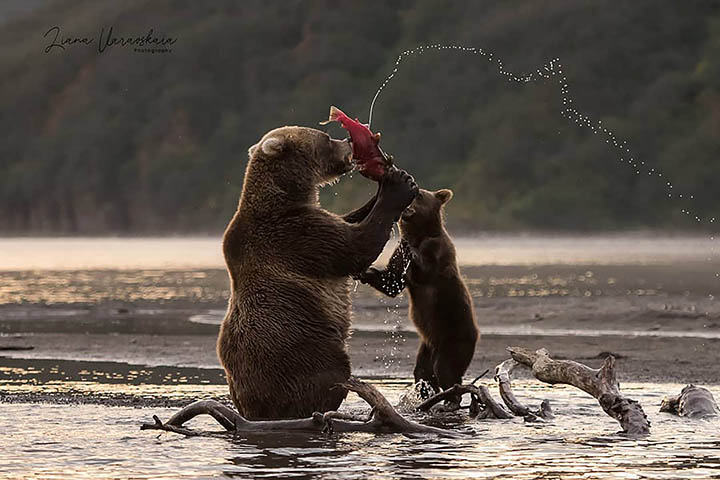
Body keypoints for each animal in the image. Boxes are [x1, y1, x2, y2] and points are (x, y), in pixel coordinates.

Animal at [217, 125, 416, 418]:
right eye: (325, 137)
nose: (347, 140)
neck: (285, 195)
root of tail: (255, 408)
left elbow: (344, 221)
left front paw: (380, 187)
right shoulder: (295, 236)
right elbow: (353, 247)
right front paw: (399, 187)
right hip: (304, 350)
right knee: (328, 374)